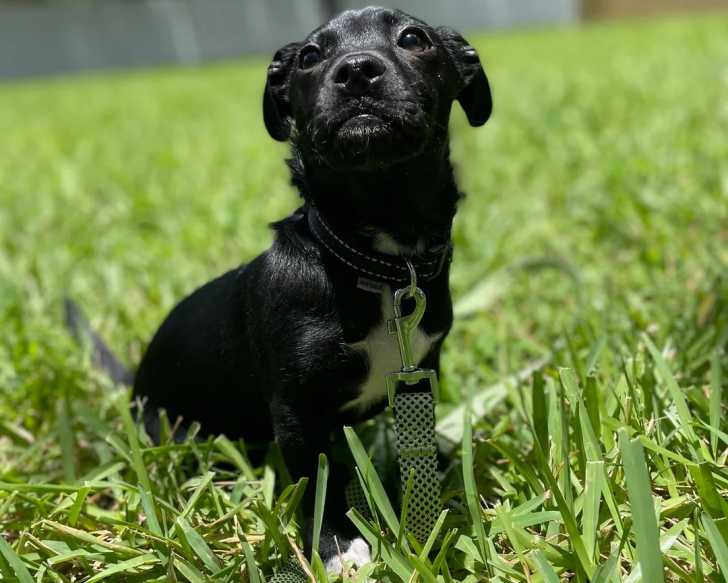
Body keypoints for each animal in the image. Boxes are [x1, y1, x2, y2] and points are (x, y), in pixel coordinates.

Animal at [76, 6, 491, 574]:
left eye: (414, 39)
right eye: (310, 56)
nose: (356, 72)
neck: (378, 261)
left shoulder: (423, 368)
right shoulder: (296, 411)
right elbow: (318, 480)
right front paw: (337, 545)